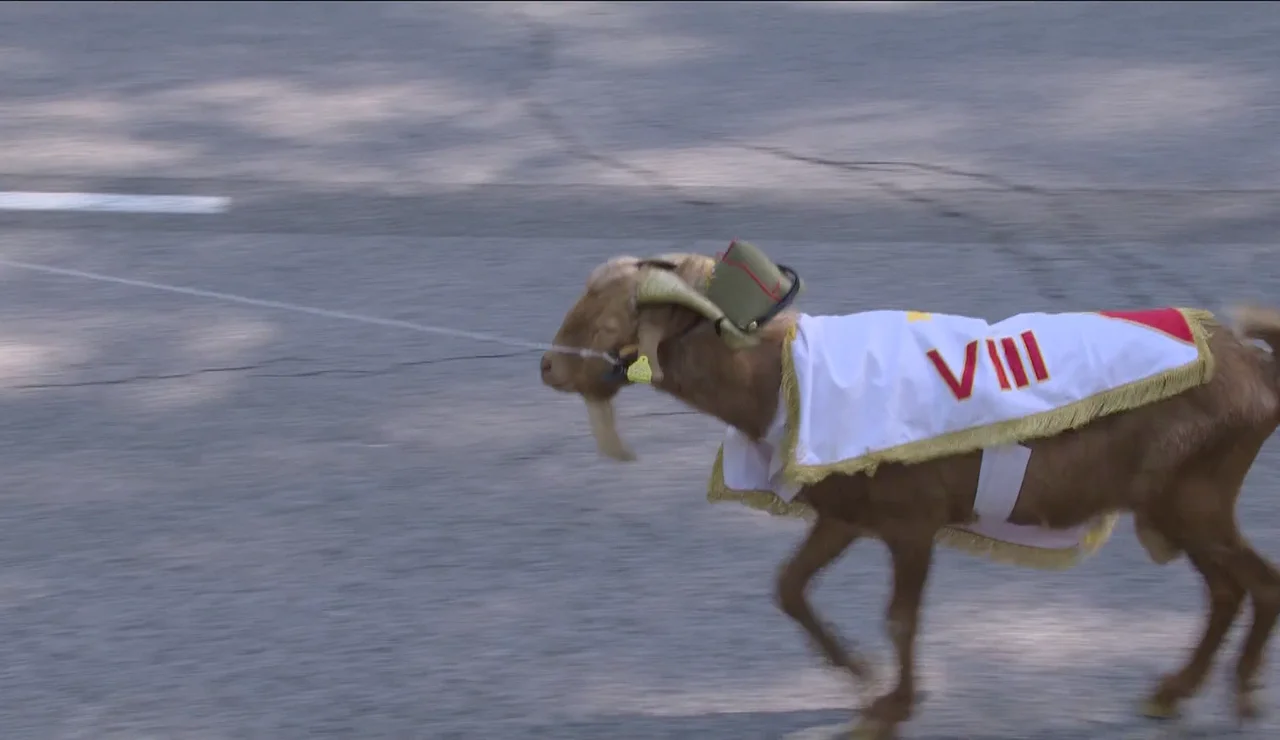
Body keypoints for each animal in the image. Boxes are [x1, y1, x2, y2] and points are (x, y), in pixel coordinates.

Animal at [539, 252, 1280, 739]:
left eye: (607, 315)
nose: (548, 366)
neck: (782, 379)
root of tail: (1257, 367)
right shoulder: (845, 517)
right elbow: (790, 586)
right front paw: (860, 675)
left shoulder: (912, 523)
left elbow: (900, 617)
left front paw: (887, 710)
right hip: (1179, 505)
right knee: (1226, 589)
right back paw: (1174, 694)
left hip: (1194, 498)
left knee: (1258, 583)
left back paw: (1238, 699)